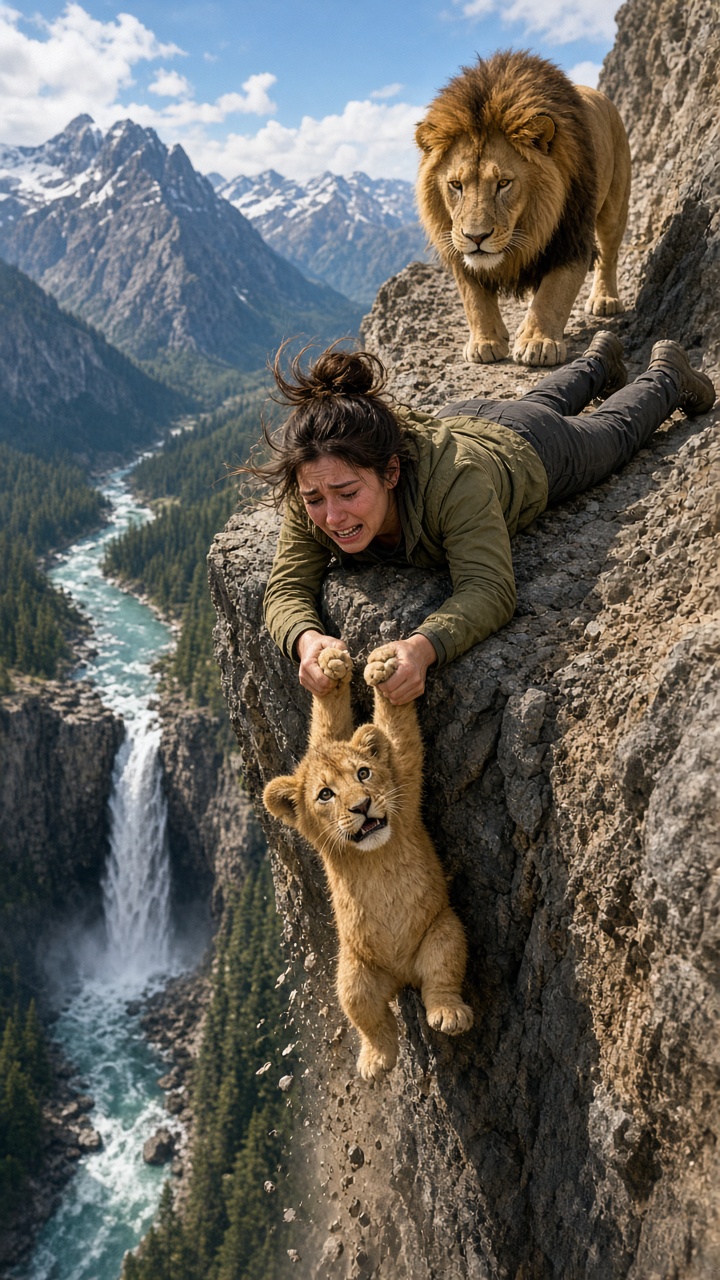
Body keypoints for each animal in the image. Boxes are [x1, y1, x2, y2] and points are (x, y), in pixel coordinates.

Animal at [263, 644, 473, 1081]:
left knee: (440, 980)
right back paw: (375, 1061)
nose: (362, 806)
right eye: (325, 794)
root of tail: (402, 976)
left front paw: (382, 667)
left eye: (363, 773)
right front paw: (330, 667)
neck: (372, 853)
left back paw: (448, 1014)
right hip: (354, 973)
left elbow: (394, 728)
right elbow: (327, 726)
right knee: (371, 1020)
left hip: (443, 931)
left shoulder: (404, 779)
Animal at [415, 50, 632, 367]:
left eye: (503, 183)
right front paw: (485, 341)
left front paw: (538, 342)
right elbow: (473, 296)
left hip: (614, 206)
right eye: (456, 184)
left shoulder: (570, 237)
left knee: (609, 254)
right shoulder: (456, 245)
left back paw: (604, 300)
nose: (476, 237)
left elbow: (555, 292)